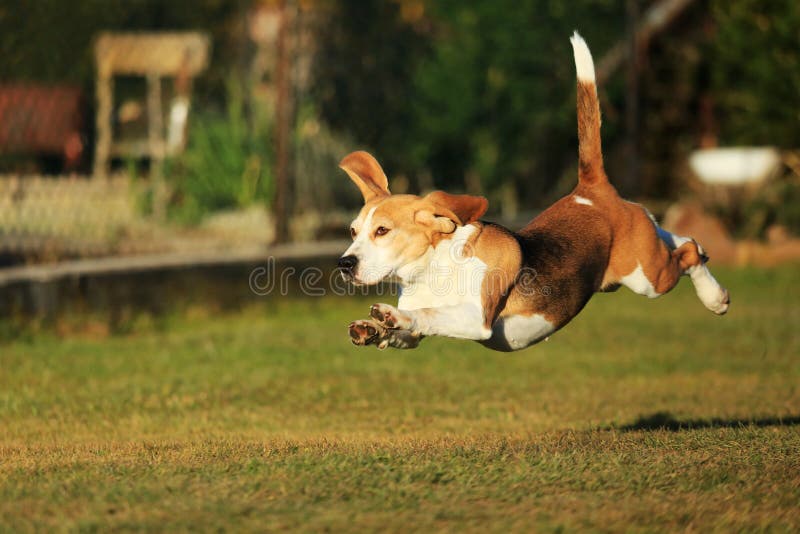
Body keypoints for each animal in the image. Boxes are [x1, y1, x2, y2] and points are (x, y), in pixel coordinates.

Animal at [334, 32, 728, 352]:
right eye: (353, 232)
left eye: (382, 231)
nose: (344, 264)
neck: (433, 266)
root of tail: (591, 188)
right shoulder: (417, 337)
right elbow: (407, 333)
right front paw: (372, 329)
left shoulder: (475, 317)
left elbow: (430, 313)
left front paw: (392, 316)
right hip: (641, 260)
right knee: (676, 235)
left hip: (649, 278)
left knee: (688, 254)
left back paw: (715, 297)